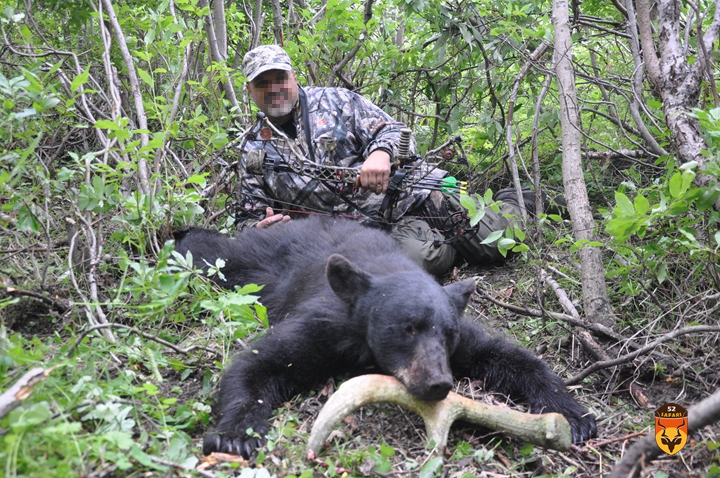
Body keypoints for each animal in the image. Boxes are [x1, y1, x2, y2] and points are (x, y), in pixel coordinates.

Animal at [176, 217, 596, 456]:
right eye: (407, 327)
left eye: (446, 334)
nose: (440, 382)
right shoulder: (327, 325)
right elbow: (259, 362)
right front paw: (236, 435)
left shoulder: (460, 335)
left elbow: (508, 356)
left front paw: (573, 415)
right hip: (253, 263)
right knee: (215, 253)